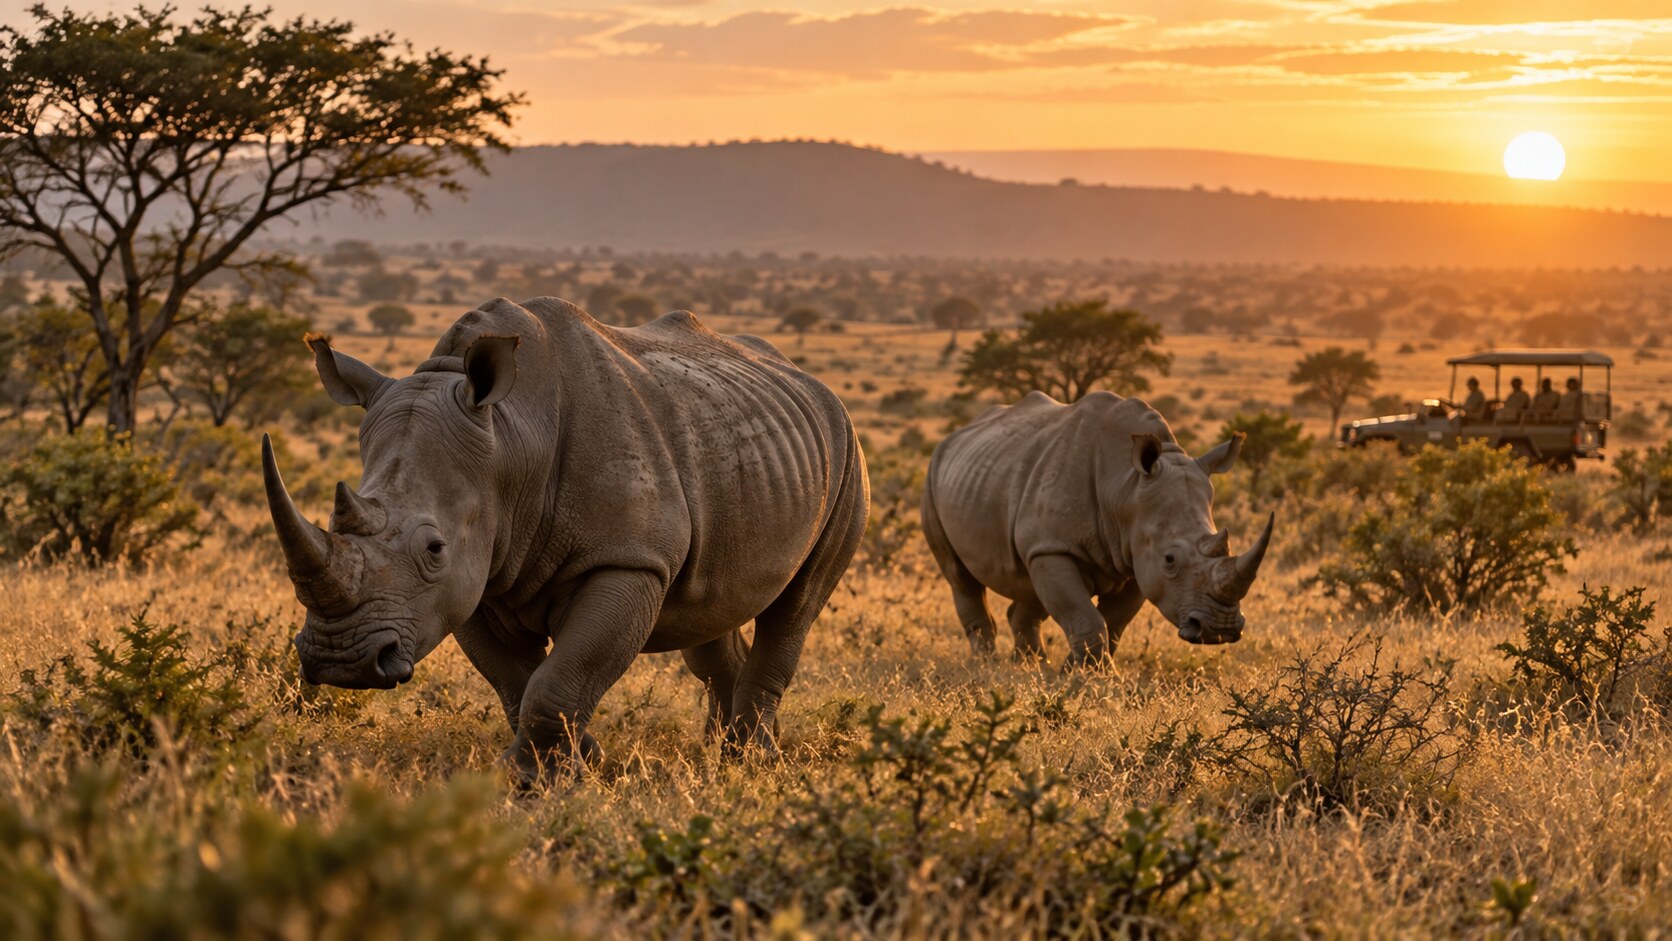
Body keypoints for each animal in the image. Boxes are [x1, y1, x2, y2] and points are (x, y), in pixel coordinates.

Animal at [263, 297, 868, 782]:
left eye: (434, 549)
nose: (340, 660)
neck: (510, 440)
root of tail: (808, 380)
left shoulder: (627, 561)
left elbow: (558, 679)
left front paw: (539, 780)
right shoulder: (477, 577)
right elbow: (517, 681)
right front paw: (582, 761)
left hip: (846, 451)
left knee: (797, 604)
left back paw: (752, 760)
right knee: (709, 612)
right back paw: (721, 753)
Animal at [921, 391, 1273, 665]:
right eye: (1170, 560)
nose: (1220, 629)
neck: (1124, 486)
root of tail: (957, 434)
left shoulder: (1135, 558)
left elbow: (1113, 622)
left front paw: (1074, 671)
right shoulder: (1056, 546)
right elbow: (1086, 617)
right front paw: (1093, 681)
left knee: (1029, 581)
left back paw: (1030, 665)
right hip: (933, 476)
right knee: (959, 576)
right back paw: (987, 665)